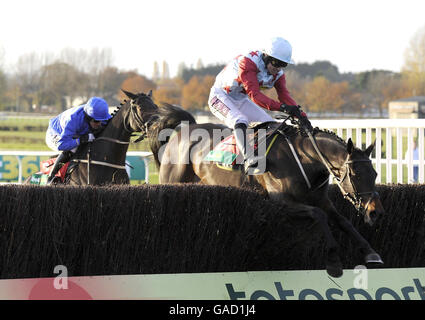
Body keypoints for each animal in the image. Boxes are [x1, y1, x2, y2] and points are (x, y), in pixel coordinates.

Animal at [130, 90, 384, 278]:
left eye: (374, 173)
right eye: (355, 174)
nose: (376, 211)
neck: (305, 158)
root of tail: (184, 129)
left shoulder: (321, 199)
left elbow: (343, 221)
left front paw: (372, 253)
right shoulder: (282, 202)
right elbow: (319, 216)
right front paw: (333, 261)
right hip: (172, 180)